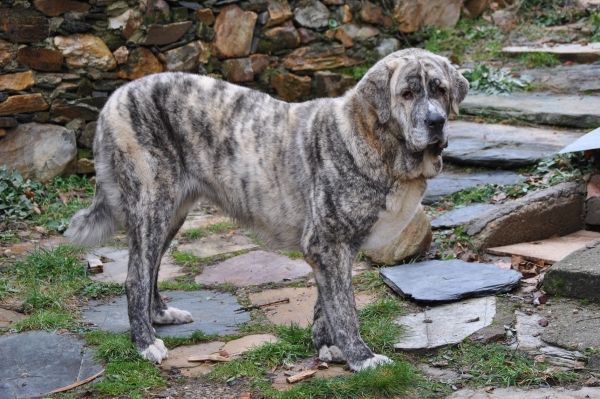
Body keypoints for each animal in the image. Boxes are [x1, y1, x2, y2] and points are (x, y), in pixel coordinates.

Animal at [65, 48, 468, 374]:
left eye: (440, 90)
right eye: (407, 93)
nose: (436, 122)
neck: (378, 141)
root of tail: (115, 97)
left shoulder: (331, 249)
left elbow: (326, 304)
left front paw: (327, 347)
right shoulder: (328, 243)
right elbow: (344, 308)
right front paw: (361, 358)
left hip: (172, 214)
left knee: (150, 270)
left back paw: (162, 316)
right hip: (153, 205)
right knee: (136, 276)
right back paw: (145, 343)